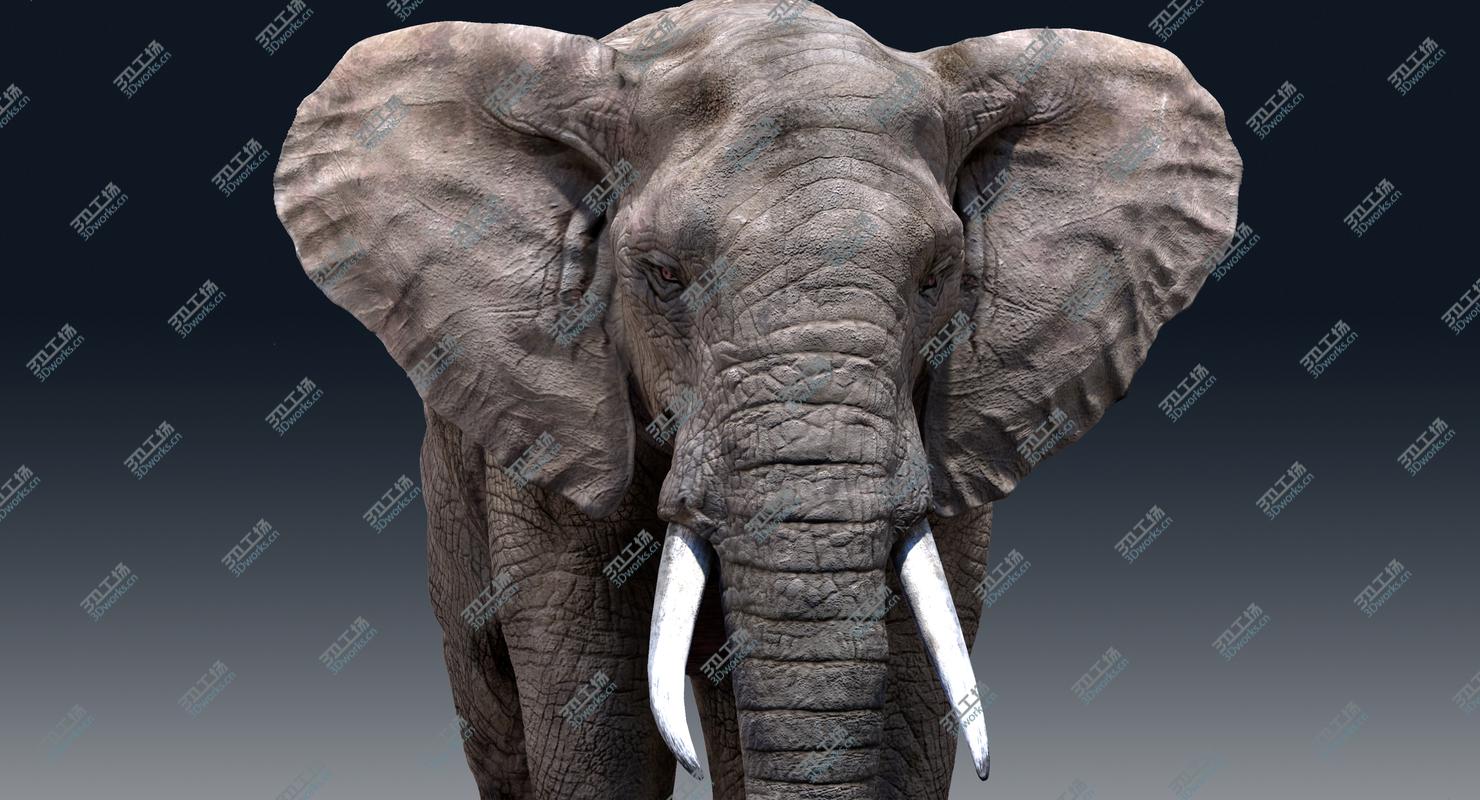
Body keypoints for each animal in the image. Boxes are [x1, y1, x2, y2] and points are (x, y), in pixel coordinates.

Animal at [272, 1, 1241, 797]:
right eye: (662, 276)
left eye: (939, 276)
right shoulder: (553, 410)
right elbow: (593, 697)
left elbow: (911, 686)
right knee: (493, 698)